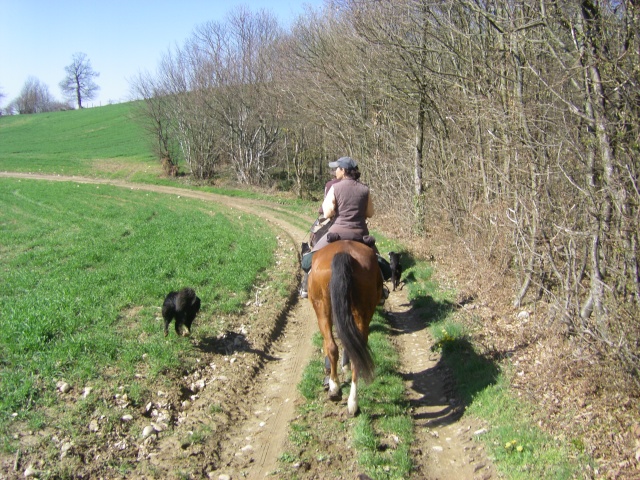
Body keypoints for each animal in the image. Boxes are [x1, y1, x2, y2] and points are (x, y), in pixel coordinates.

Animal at [308, 242, 382, 414]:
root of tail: (343, 253)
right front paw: (345, 366)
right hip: (363, 312)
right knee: (358, 353)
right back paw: (353, 403)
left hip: (322, 309)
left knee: (331, 346)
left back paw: (334, 388)